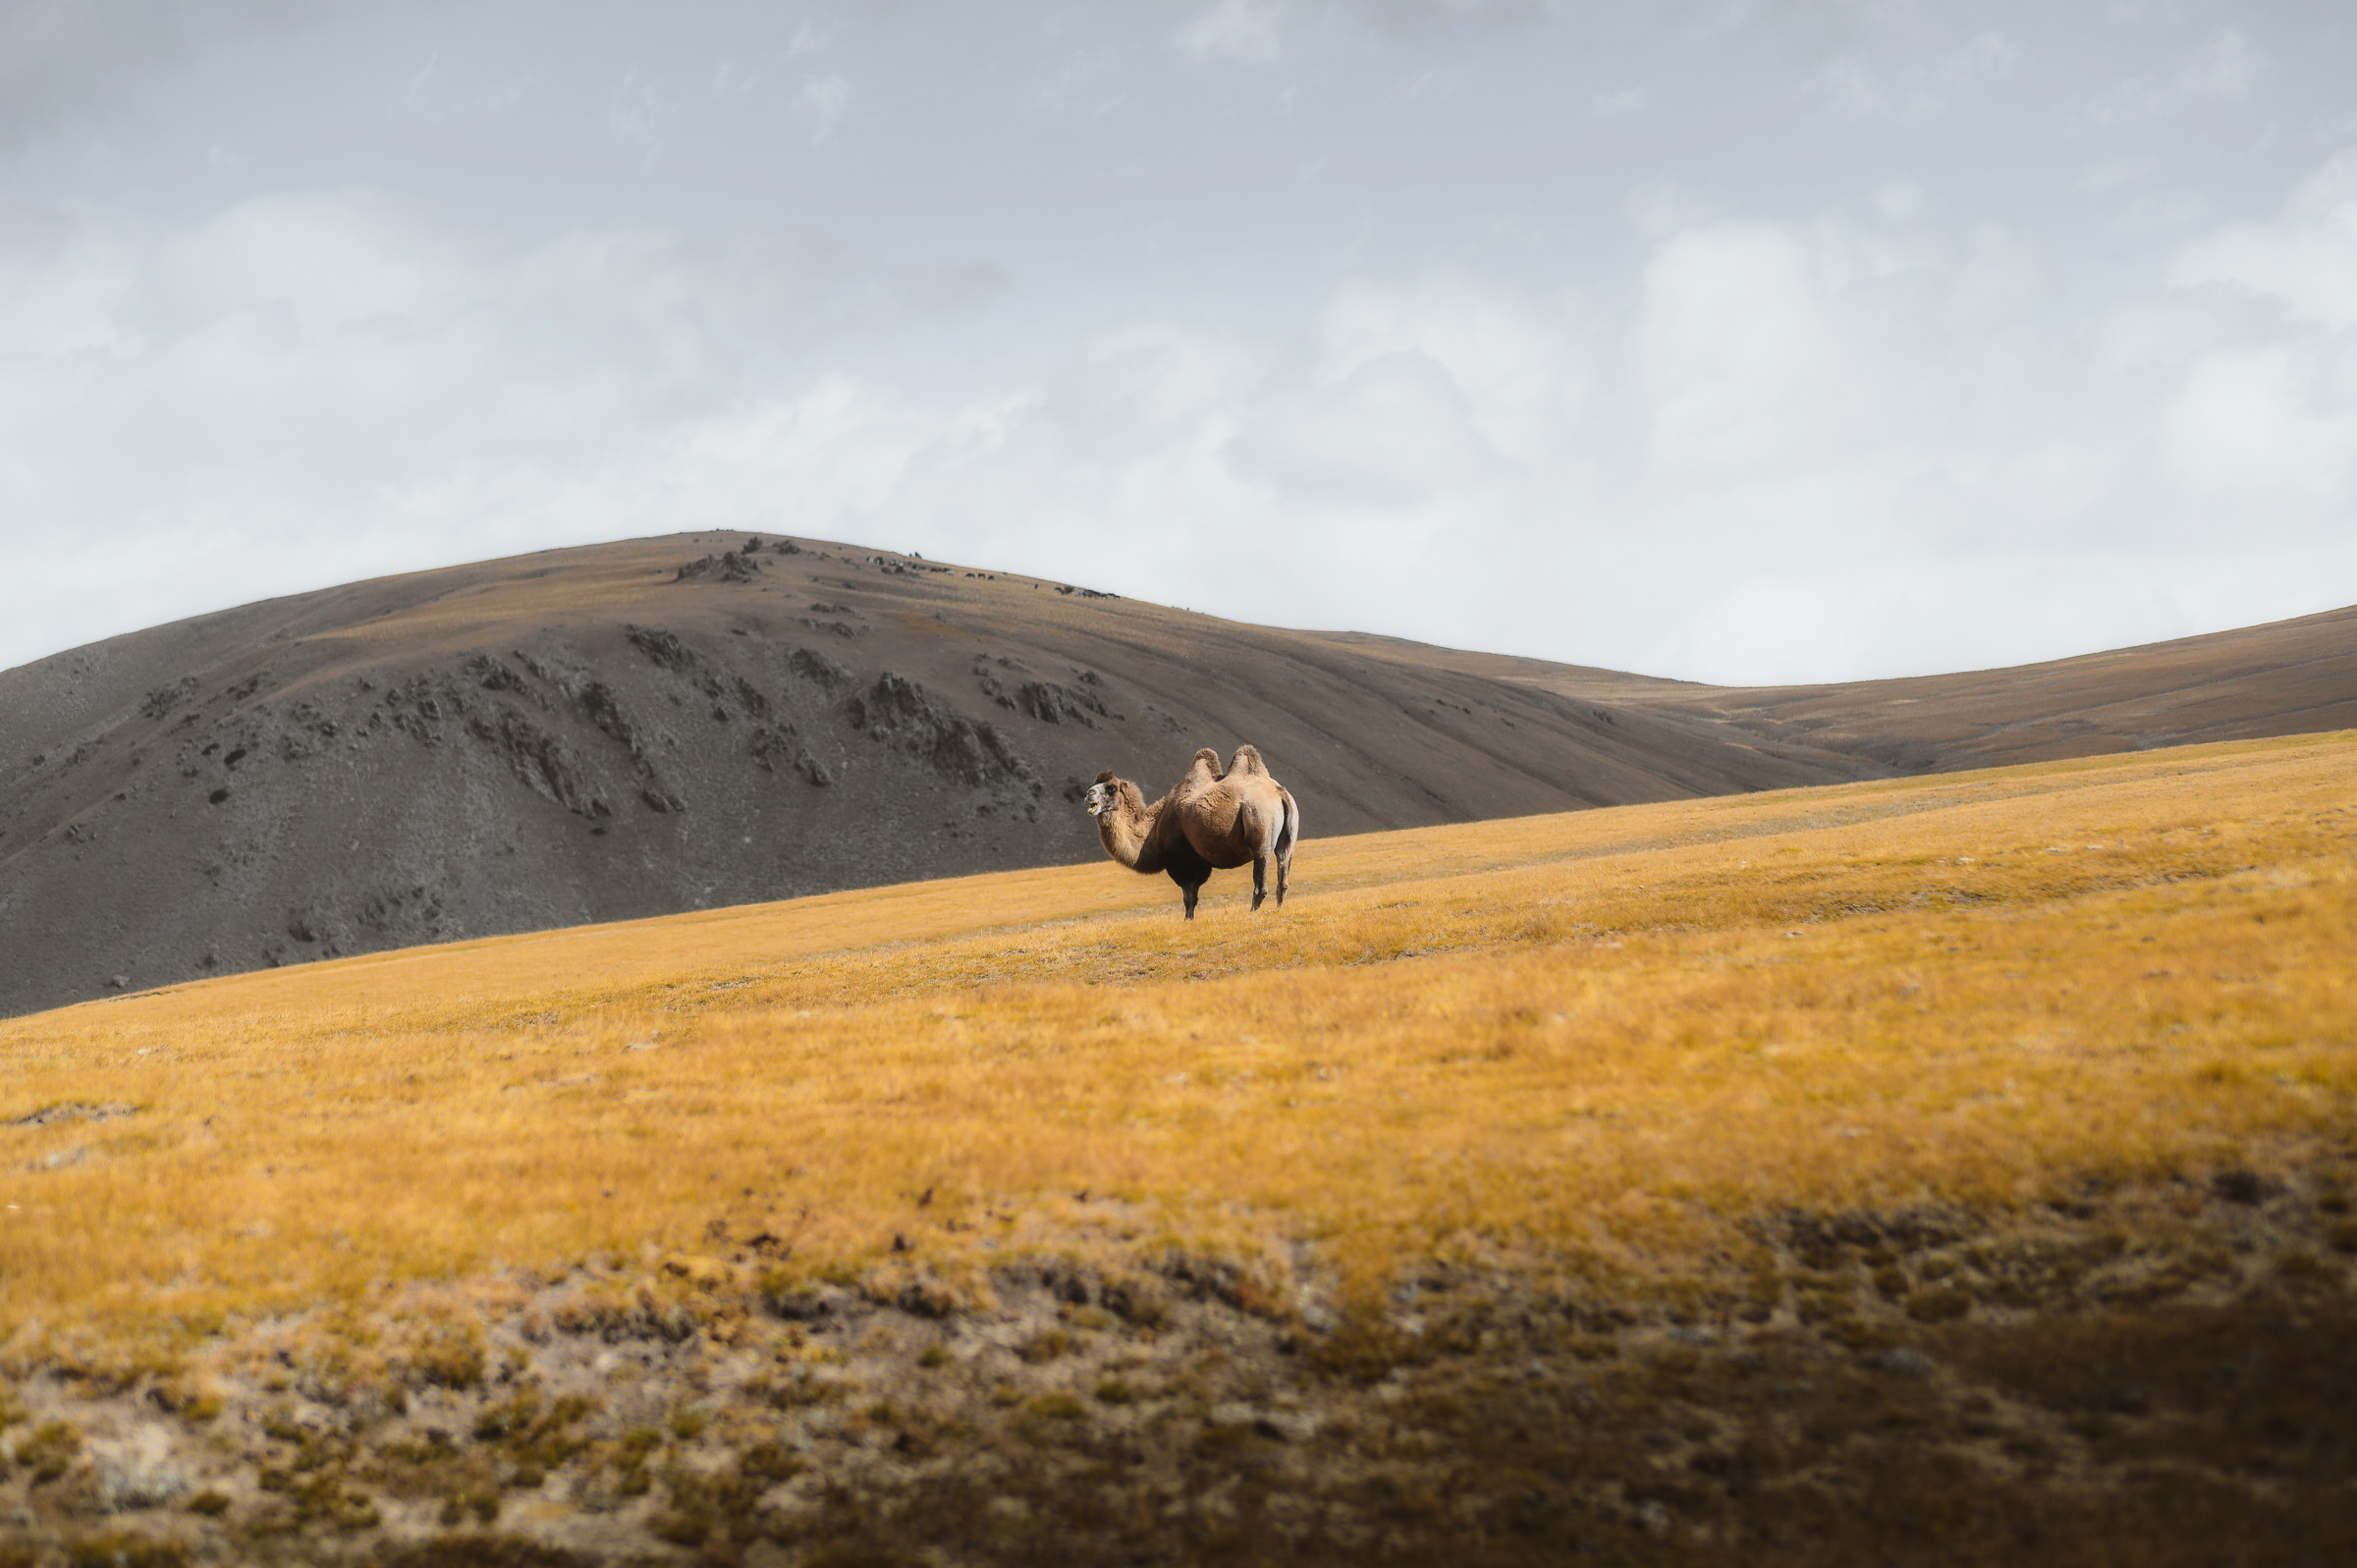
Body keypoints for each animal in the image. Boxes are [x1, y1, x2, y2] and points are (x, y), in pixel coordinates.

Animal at [1083, 745, 1300, 918]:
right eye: (1094, 784)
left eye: (1111, 788)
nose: (1088, 793)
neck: (1154, 829)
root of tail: (1281, 794)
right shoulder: (1200, 861)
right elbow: (1193, 898)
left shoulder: (1183, 860)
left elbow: (1189, 899)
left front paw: (1188, 921)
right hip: (1288, 837)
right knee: (1283, 876)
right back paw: (1278, 909)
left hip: (1260, 827)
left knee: (1260, 885)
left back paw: (1252, 913)